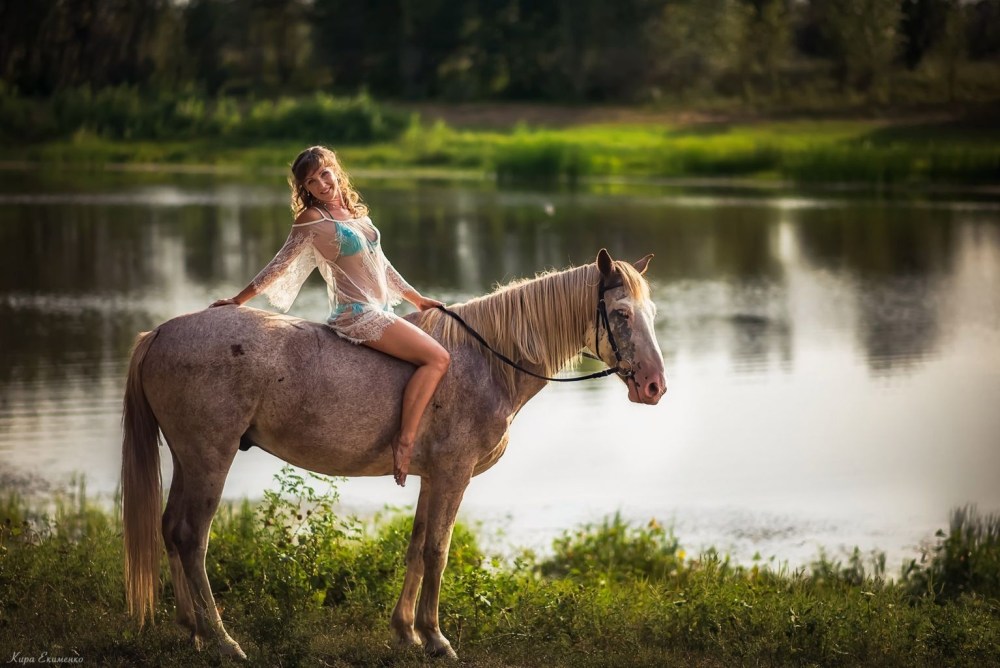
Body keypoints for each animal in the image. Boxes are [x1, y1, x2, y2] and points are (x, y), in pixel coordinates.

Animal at [121, 248, 666, 660]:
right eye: (621, 314)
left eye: (652, 315)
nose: (655, 386)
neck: (486, 361)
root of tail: (160, 333)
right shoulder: (452, 475)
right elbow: (437, 551)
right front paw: (436, 638)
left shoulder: (432, 477)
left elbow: (416, 546)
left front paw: (406, 632)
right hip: (209, 458)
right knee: (192, 538)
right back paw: (221, 639)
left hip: (189, 460)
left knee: (170, 530)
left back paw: (191, 630)